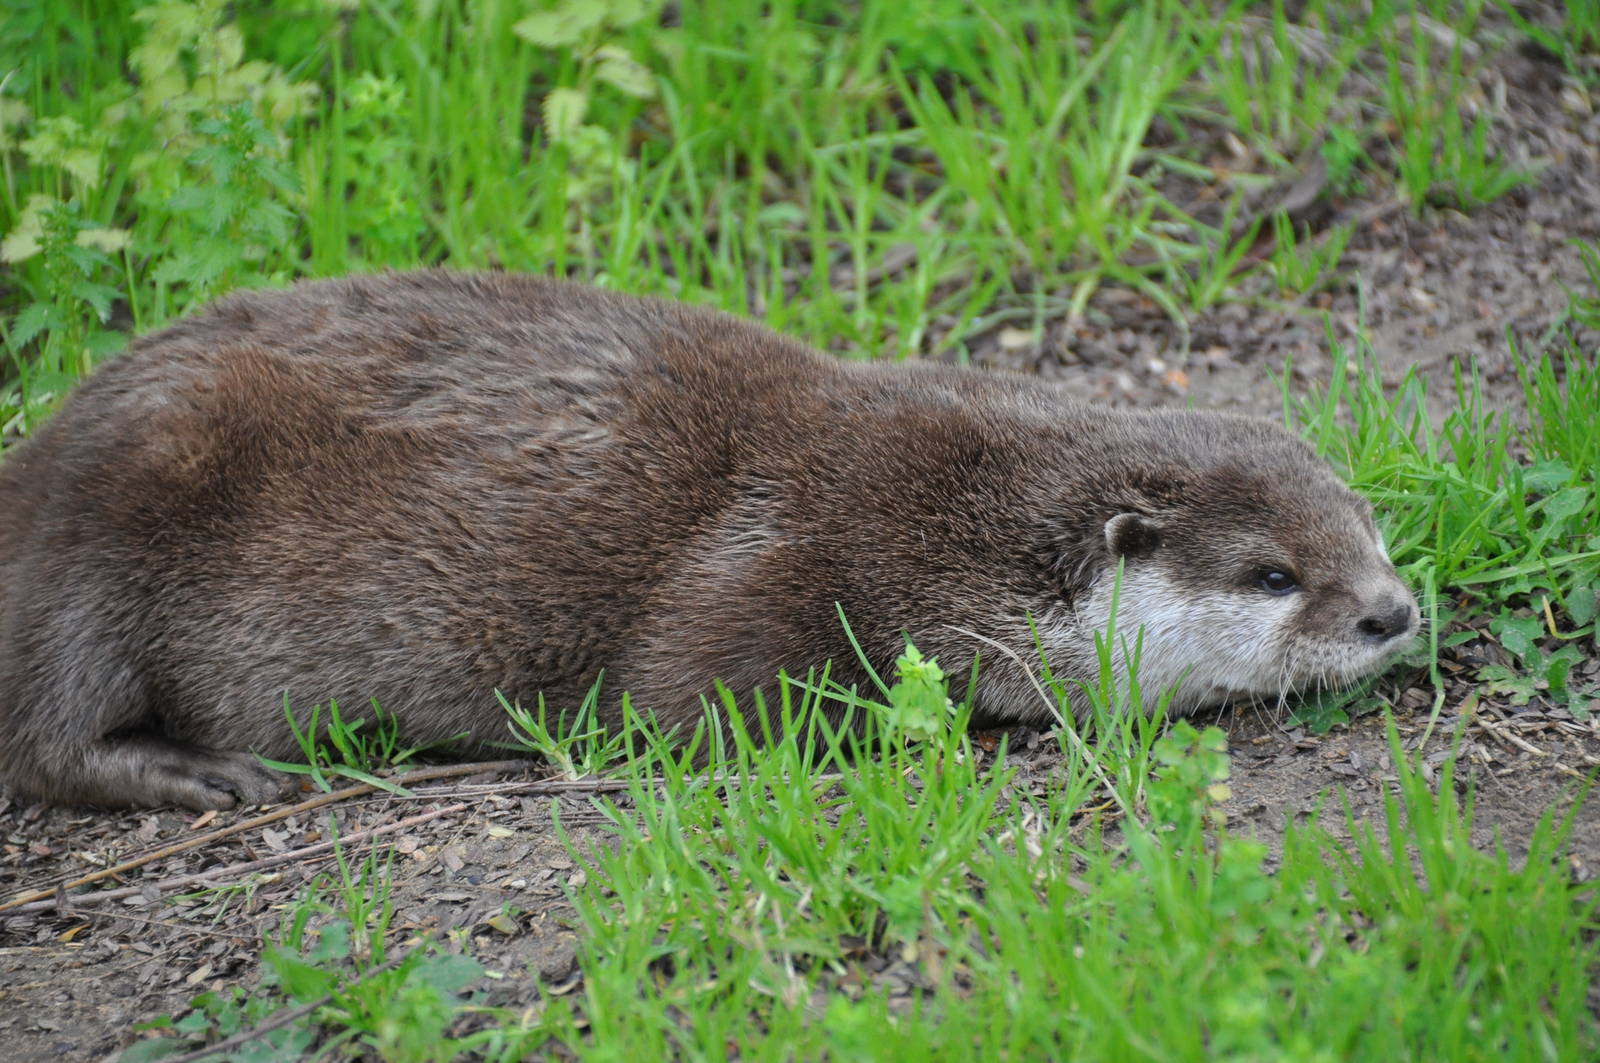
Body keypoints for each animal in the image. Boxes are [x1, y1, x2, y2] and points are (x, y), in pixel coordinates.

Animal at [0, 271, 1418, 811]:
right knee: (42, 728)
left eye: (1364, 527)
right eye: (1274, 574)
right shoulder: (776, 565)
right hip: (109, 517)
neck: (943, 520)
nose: (1391, 612)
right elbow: (685, 698)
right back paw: (195, 774)